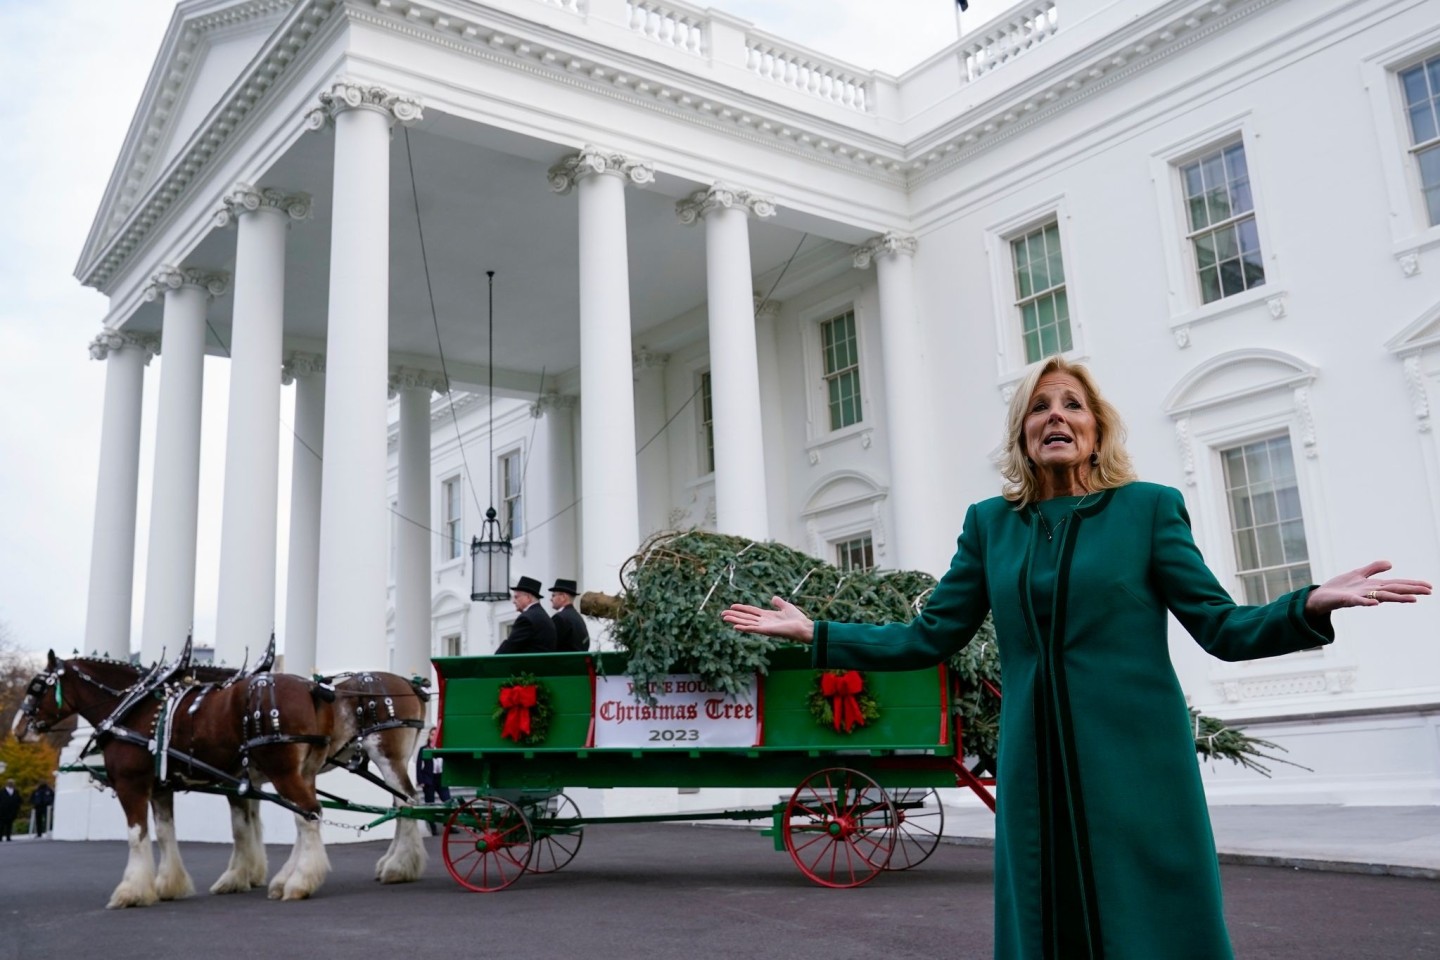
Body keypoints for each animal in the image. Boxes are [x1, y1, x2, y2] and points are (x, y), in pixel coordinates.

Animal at [12, 650, 332, 903]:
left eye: (37, 686)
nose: (17, 728)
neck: (132, 708)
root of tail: (309, 688)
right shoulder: (160, 788)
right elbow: (166, 832)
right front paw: (168, 884)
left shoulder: (131, 785)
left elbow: (137, 834)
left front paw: (131, 890)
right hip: (304, 771)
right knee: (308, 815)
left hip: (282, 771)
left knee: (308, 815)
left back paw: (300, 881)